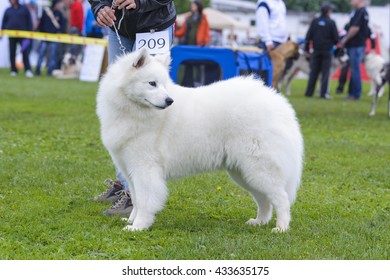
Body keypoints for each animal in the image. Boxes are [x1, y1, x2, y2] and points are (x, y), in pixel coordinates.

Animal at [96, 49, 304, 232]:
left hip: (259, 169)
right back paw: (259, 222)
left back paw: (281, 228)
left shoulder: (145, 169)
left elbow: (146, 201)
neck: (132, 111)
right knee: (264, 200)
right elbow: (137, 200)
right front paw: (131, 221)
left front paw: (139, 226)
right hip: (244, 173)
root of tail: (278, 103)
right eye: (152, 83)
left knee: (281, 198)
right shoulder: (129, 169)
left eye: (163, 84)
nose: (169, 101)